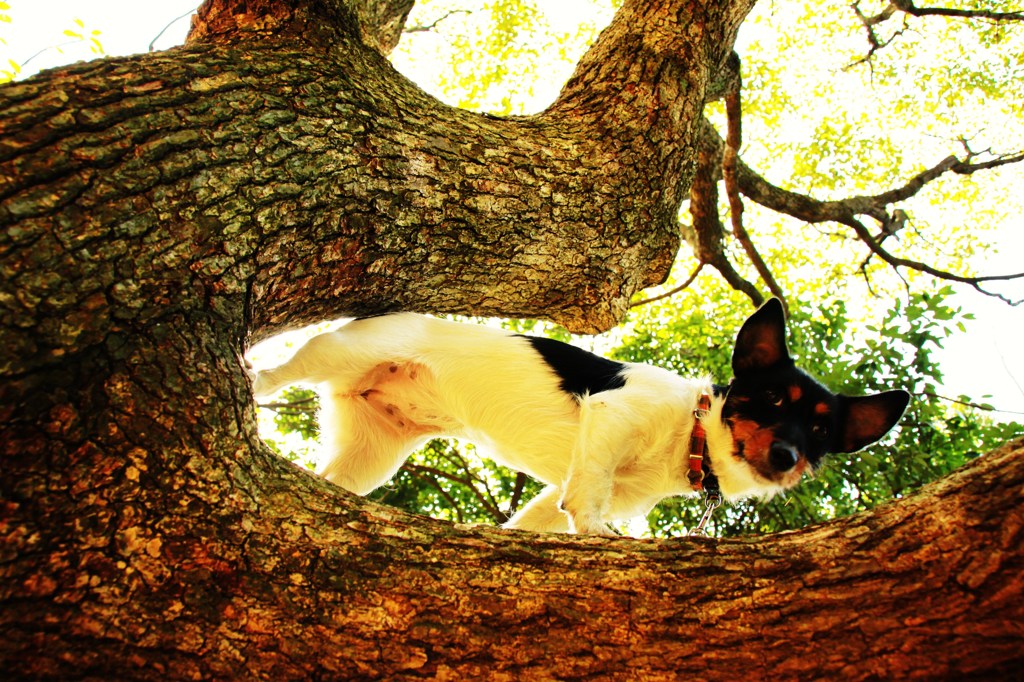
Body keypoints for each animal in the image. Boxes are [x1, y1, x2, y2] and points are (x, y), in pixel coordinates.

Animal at [251, 301, 909, 532]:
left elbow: (537, 519)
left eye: (820, 431)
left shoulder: (555, 497)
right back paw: (249, 378)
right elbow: (587, 502)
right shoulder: (613, 417)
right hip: (340, 351)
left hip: (371, 458)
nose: (786, 457)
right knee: (273, 376)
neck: (688, 434)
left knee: (333, 481)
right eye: (772, 400)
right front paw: (598, 535)